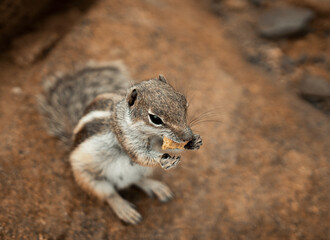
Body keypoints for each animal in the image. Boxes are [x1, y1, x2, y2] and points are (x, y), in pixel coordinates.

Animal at [39, 61, 204, 224]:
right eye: (155, 118)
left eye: (184, 102)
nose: (188, 136)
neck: (150, 135)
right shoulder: (125, 138)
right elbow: (140, 156)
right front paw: (164, 160)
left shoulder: (161, 141)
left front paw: (194, 142)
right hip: (90, 178)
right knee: (110, 195)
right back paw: (125, 210)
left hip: (141, 172)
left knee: (138, 180)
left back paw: (156, 187)